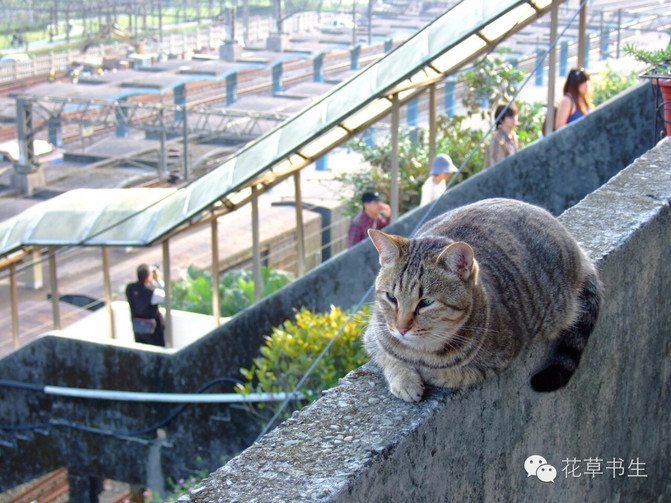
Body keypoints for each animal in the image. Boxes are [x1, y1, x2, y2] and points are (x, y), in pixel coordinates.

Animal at [364, 199, 608, 404]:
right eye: (391, 297)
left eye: (426, 302)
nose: (402, 328)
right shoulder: (374, 334)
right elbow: (389, 357)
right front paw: (405, 379)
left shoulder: (501, 358)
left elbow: (453, 374)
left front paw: (429, 372)